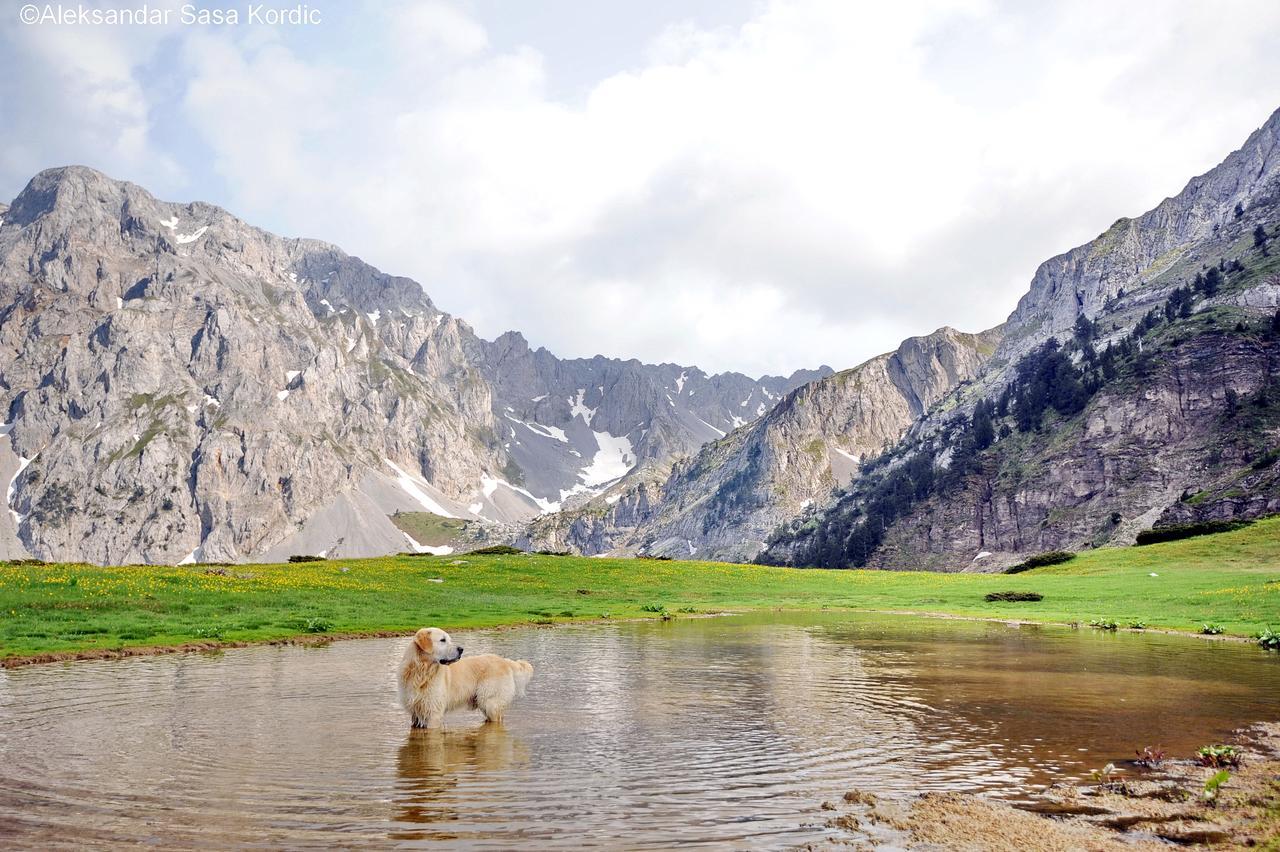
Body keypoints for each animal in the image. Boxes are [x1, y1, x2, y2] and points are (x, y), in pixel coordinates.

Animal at [396, 624, 532, 721]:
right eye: (442, 640)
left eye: (448, 639)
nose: (461, 649)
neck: (421, 671)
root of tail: (504, 661)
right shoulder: (415, 712)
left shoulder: (433, 712)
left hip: (490, 703)